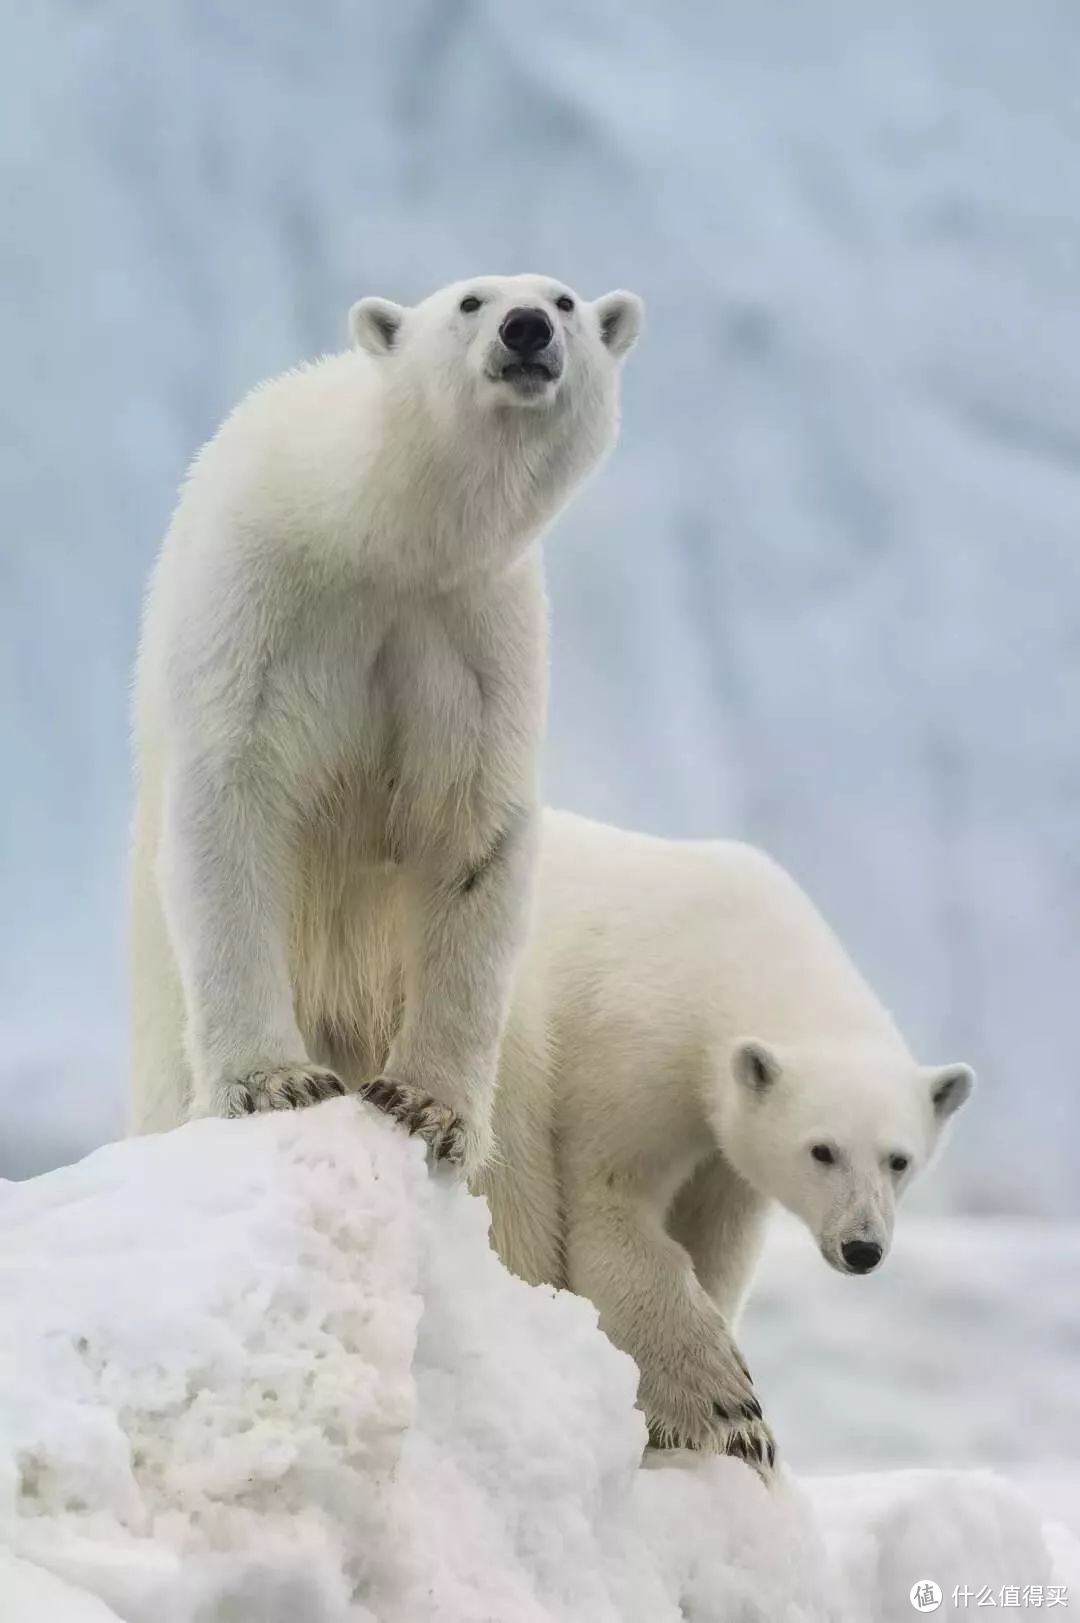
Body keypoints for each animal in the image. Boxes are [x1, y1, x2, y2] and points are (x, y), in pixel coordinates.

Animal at [131, 272, 643, 1175]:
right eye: (471, 300)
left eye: (565, 300)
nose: (526, 328)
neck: (377, 535)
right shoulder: (263, 600)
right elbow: (234, 797)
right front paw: (276, 1082)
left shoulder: (475, 638)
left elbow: (472, 831)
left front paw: (425, 1106)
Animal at [477, 811, 974, 1473]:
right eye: (822, 1151)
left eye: (899, 1160)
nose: (862, 1247)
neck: (724, 948)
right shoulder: (627, 1050)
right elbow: (611, 1208)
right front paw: (729, 1414)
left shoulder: (723, 1150)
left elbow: (718, 1236)